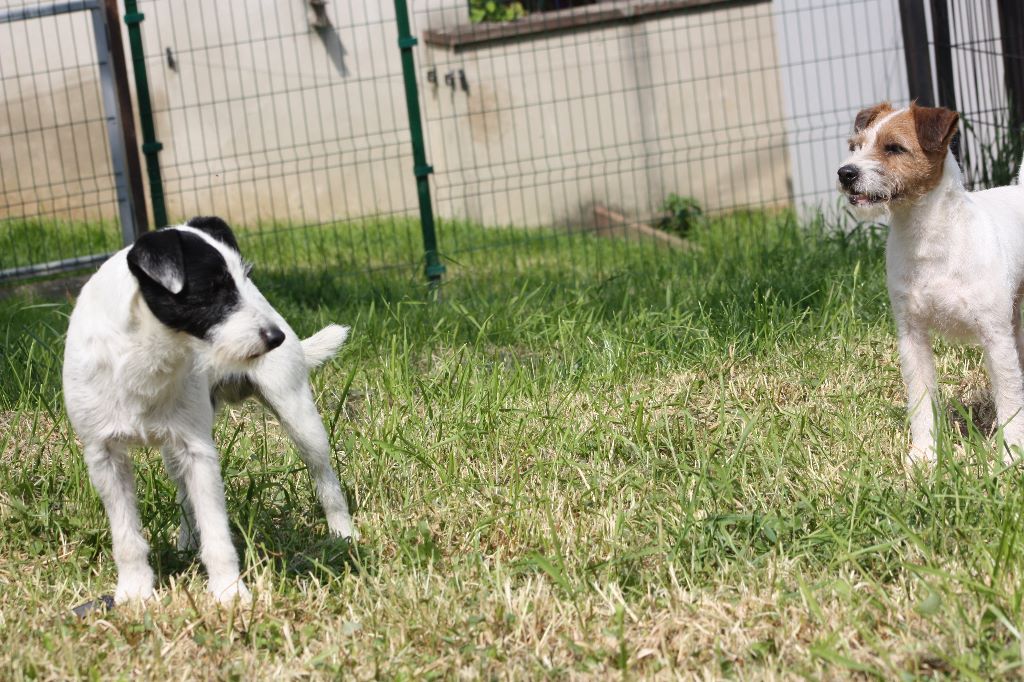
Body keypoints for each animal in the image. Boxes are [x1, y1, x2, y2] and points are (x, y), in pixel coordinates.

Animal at [64, 216, 358, 602]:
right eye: (215, 287)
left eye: (244, 277)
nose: (275, 337)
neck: (146, 354)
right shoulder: (105, 456)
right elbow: (127, 537)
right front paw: (135, 592)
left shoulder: (199, 453)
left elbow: (217, 533)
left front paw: (229, 593)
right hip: (173, 452)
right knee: (186, 500)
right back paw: (187, 542)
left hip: (299, 416)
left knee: (325, 479)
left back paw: (343, 534)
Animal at [835, 102, 1024, 462]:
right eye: (855, 146)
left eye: (894, 148)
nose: (845, 173)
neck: (929, 239)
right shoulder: (912, 337)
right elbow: (920, 400)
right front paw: (923, 455)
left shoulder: (995, 337)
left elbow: (1009, 398)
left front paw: (1011, 455)